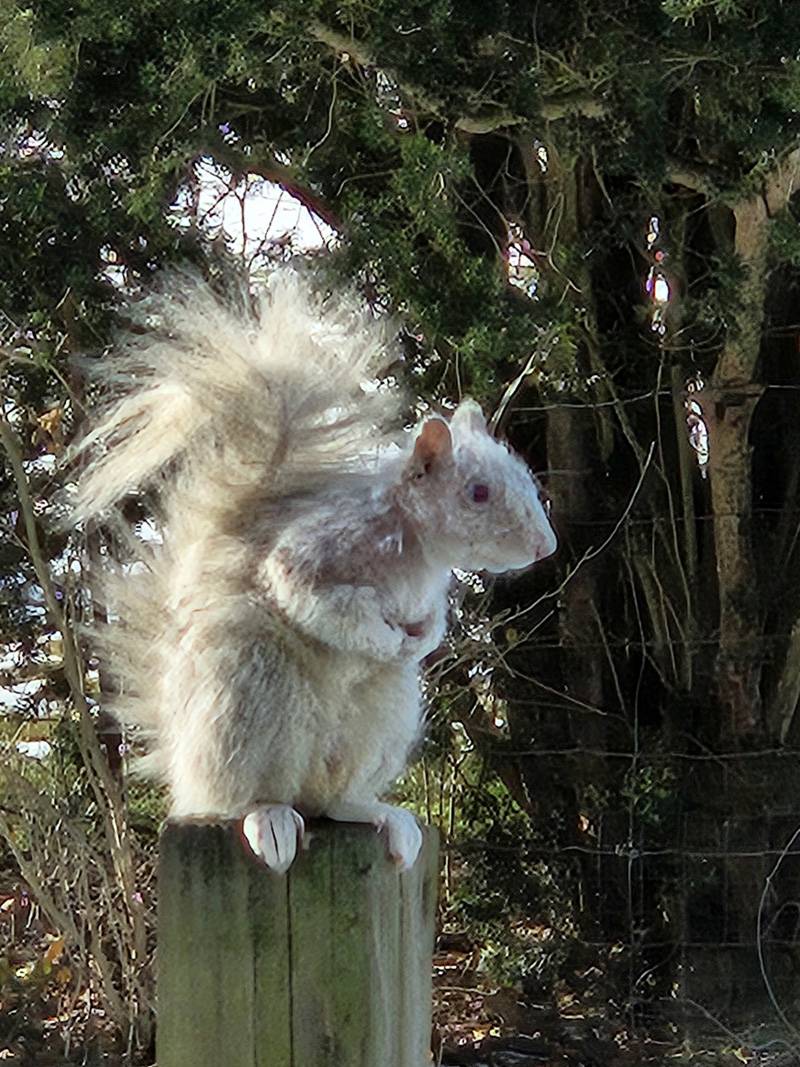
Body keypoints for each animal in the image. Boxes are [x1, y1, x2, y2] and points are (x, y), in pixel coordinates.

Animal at [70, 271, 558, 870]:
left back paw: (378, 815)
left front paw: (420, 640)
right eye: (478, 493)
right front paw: (385, 636)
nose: (544, 545)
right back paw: (267, 819)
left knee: (335, 800)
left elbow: (431, 621)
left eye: (524, 477)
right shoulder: (318, 551)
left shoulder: (426, 594)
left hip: (380, 719)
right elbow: (322, 603)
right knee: (247, 793)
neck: (419, 549)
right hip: (242, 698)